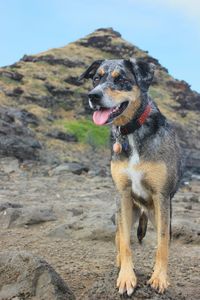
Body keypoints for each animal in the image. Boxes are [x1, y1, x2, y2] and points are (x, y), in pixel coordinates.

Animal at [79, 58, 182, 296]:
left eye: (121, 79)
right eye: (96, 78)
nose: (93, 96)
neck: (131, 131)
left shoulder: (162, 196)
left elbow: (162, 243)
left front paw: (159, 278)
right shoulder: (123, 194)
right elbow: (125, 242)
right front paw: (126, 277)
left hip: (158, 213)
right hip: (123, 211)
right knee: (118, 236)